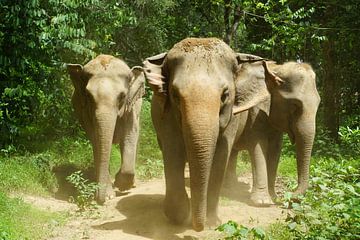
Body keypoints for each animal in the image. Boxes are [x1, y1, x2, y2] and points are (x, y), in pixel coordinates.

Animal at [67, 54, 145, 202]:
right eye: (88, 96)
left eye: (122, 96)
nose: (100, 199)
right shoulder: (85, 112)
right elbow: (96, 140)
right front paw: (109, 195)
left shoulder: (131, 107)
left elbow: (129, 136)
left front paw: (121, 184)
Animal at [141, 38, 276, 231]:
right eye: (175, 95)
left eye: (225, 95)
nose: (198, 227)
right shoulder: (166, 115)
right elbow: (173, 153)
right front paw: (178, 217)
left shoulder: (231, 117)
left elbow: (220, 158)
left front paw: (212, 223)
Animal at [226, 57, 322, 204]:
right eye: (295, 105)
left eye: (318, 103)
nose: (289, 195)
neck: (276, 69)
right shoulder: (255, 112)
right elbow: (258, 146)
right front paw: (262, 202)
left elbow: (275, 149)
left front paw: (273, 197)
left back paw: (232, 188)